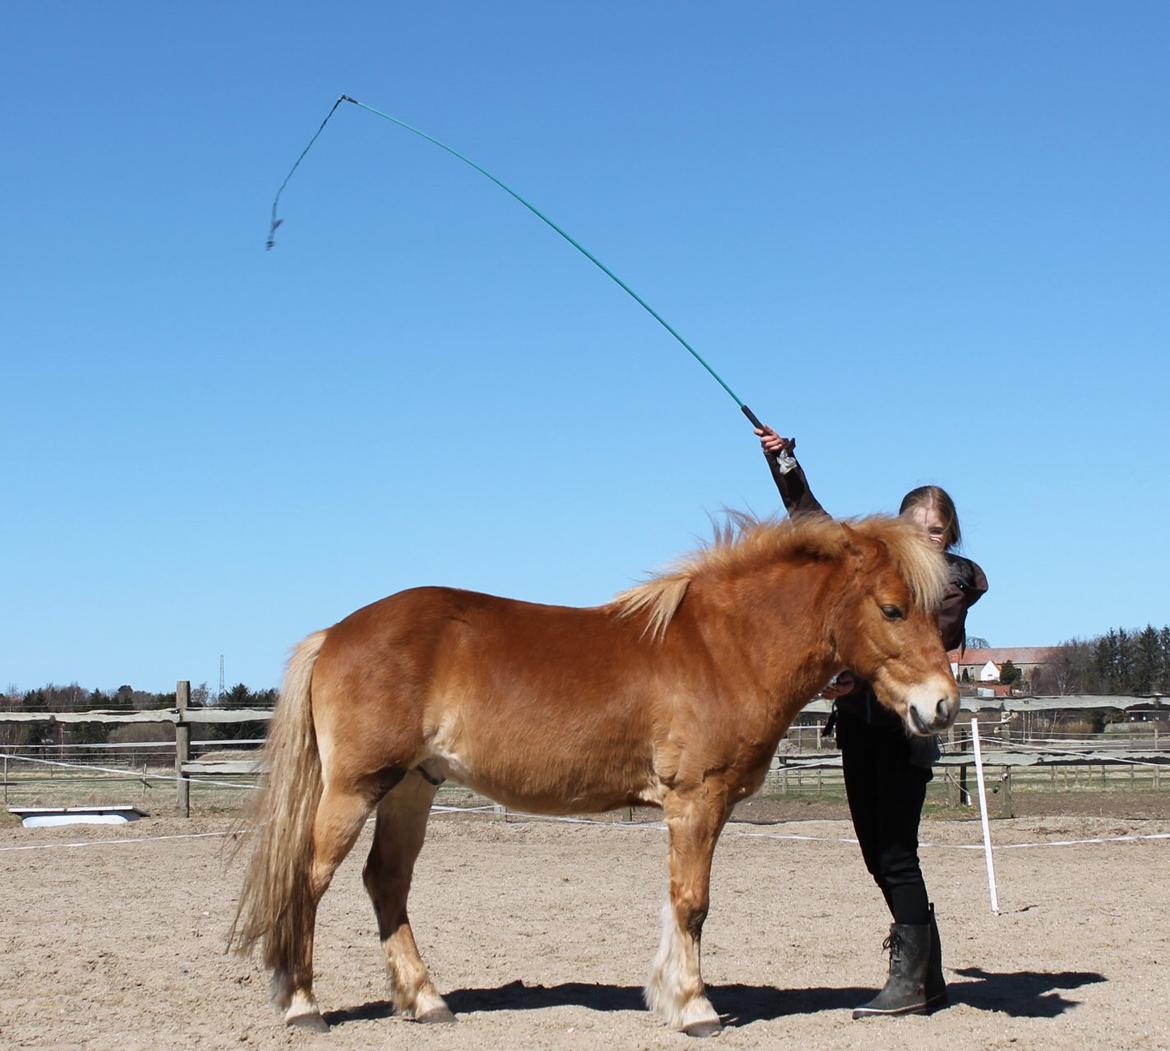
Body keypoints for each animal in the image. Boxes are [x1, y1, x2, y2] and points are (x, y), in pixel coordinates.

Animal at [230, 512, 959, 1034]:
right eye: (893, 608)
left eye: (935, 609)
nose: (942, 705)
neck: (724, 645)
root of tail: (334, 633)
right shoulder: (696, 800)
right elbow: (692, 902)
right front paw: (695, 1008)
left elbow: (679, 901)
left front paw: (671, 997)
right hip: (355, 788)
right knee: (308, 880)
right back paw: (303, 1005)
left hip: (412, 785)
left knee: (385, 881)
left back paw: (427, 1000)